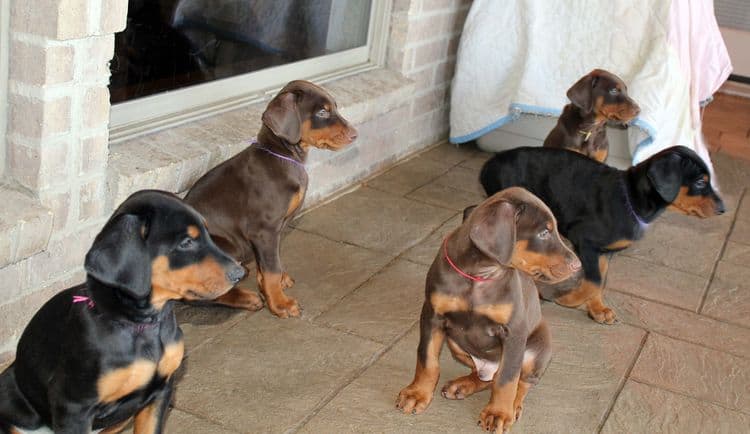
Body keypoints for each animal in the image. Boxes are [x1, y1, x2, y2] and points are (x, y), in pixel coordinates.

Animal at [0, 190, 247, 434]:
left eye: (208, 233)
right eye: (186, 242)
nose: (240, 274)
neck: (142, 325)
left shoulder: (161, 392)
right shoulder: (73, 406)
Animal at [183, 80, 358, 318]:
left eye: (335, 108)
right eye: (322, 112)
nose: (355, 134)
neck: (282, 155)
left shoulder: (268, 233)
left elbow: (267, 264)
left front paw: (271, 285)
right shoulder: (264, 230)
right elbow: (272, 267)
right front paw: (280, 303)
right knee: (197, 293)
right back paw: (247, 298)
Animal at [396, 188, 584, 432]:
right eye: (544, 233)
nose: (578, 265)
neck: (479, 275)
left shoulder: (514, 331)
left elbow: (508, 378)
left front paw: (499, 414)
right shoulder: (432, 316)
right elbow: (427, 359)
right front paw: (417, 393)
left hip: (537, 350)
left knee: (519, 380)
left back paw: (513, 406)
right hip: (456, 344)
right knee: (486, 378)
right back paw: (463, 385)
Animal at [482, 146, 728, 326]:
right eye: (700, 182)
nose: (723, 209)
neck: (631, 200)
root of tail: (491, 163)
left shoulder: (604, 252)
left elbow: (600, 278)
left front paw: (597, 309)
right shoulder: (586, 241)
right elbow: (594, 281)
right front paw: (570, 300)